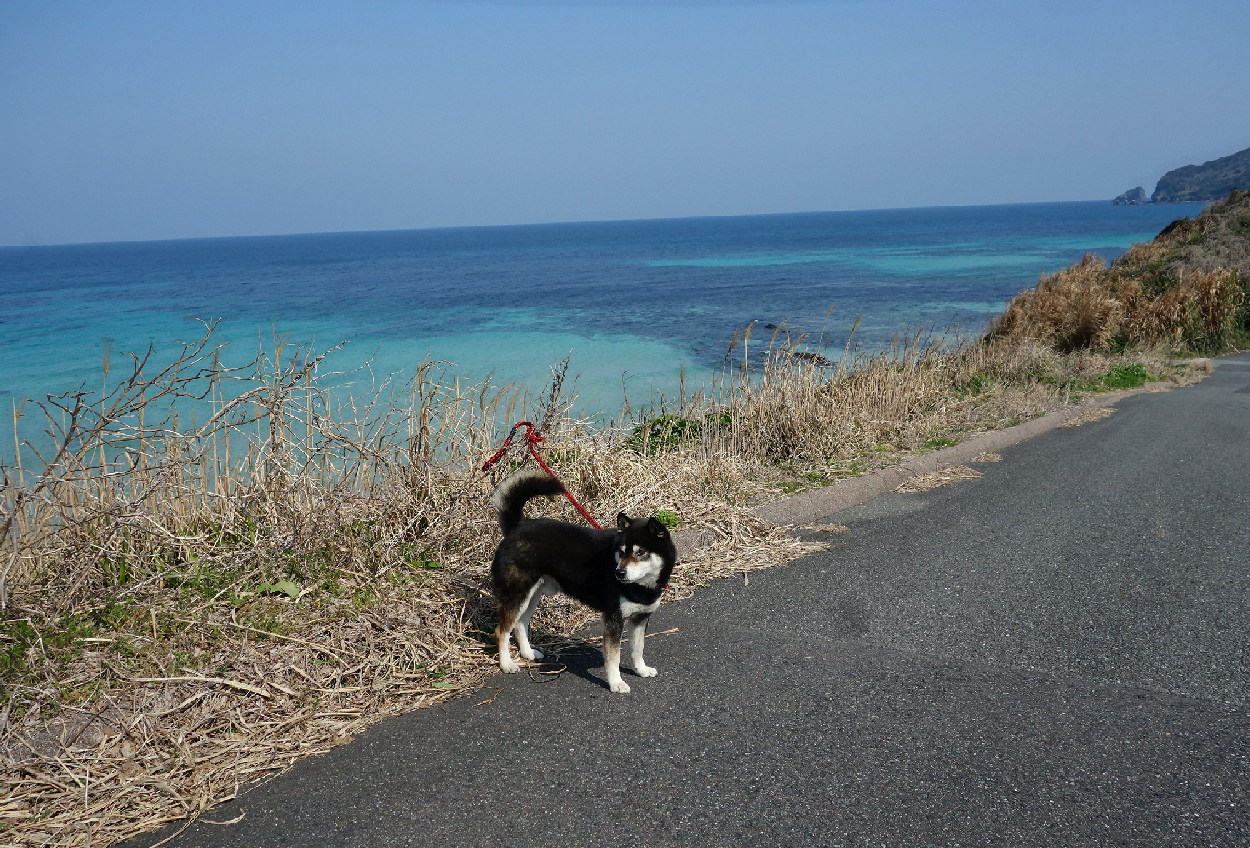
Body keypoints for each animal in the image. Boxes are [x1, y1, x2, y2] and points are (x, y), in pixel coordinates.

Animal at [490, 468, 678, 693]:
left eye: (640, 552)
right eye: (622, 552)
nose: (619, 573)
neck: (641, 587)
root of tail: (517, 526)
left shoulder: (640, 619)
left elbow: (638, 649)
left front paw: (641, 670)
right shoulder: (614, 620)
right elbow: (614, 658)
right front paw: (616, 683)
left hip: (532, 595)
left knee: (520, 624)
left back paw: (527, 653)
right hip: (517, 596)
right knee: (501, 631)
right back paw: (507, 664)